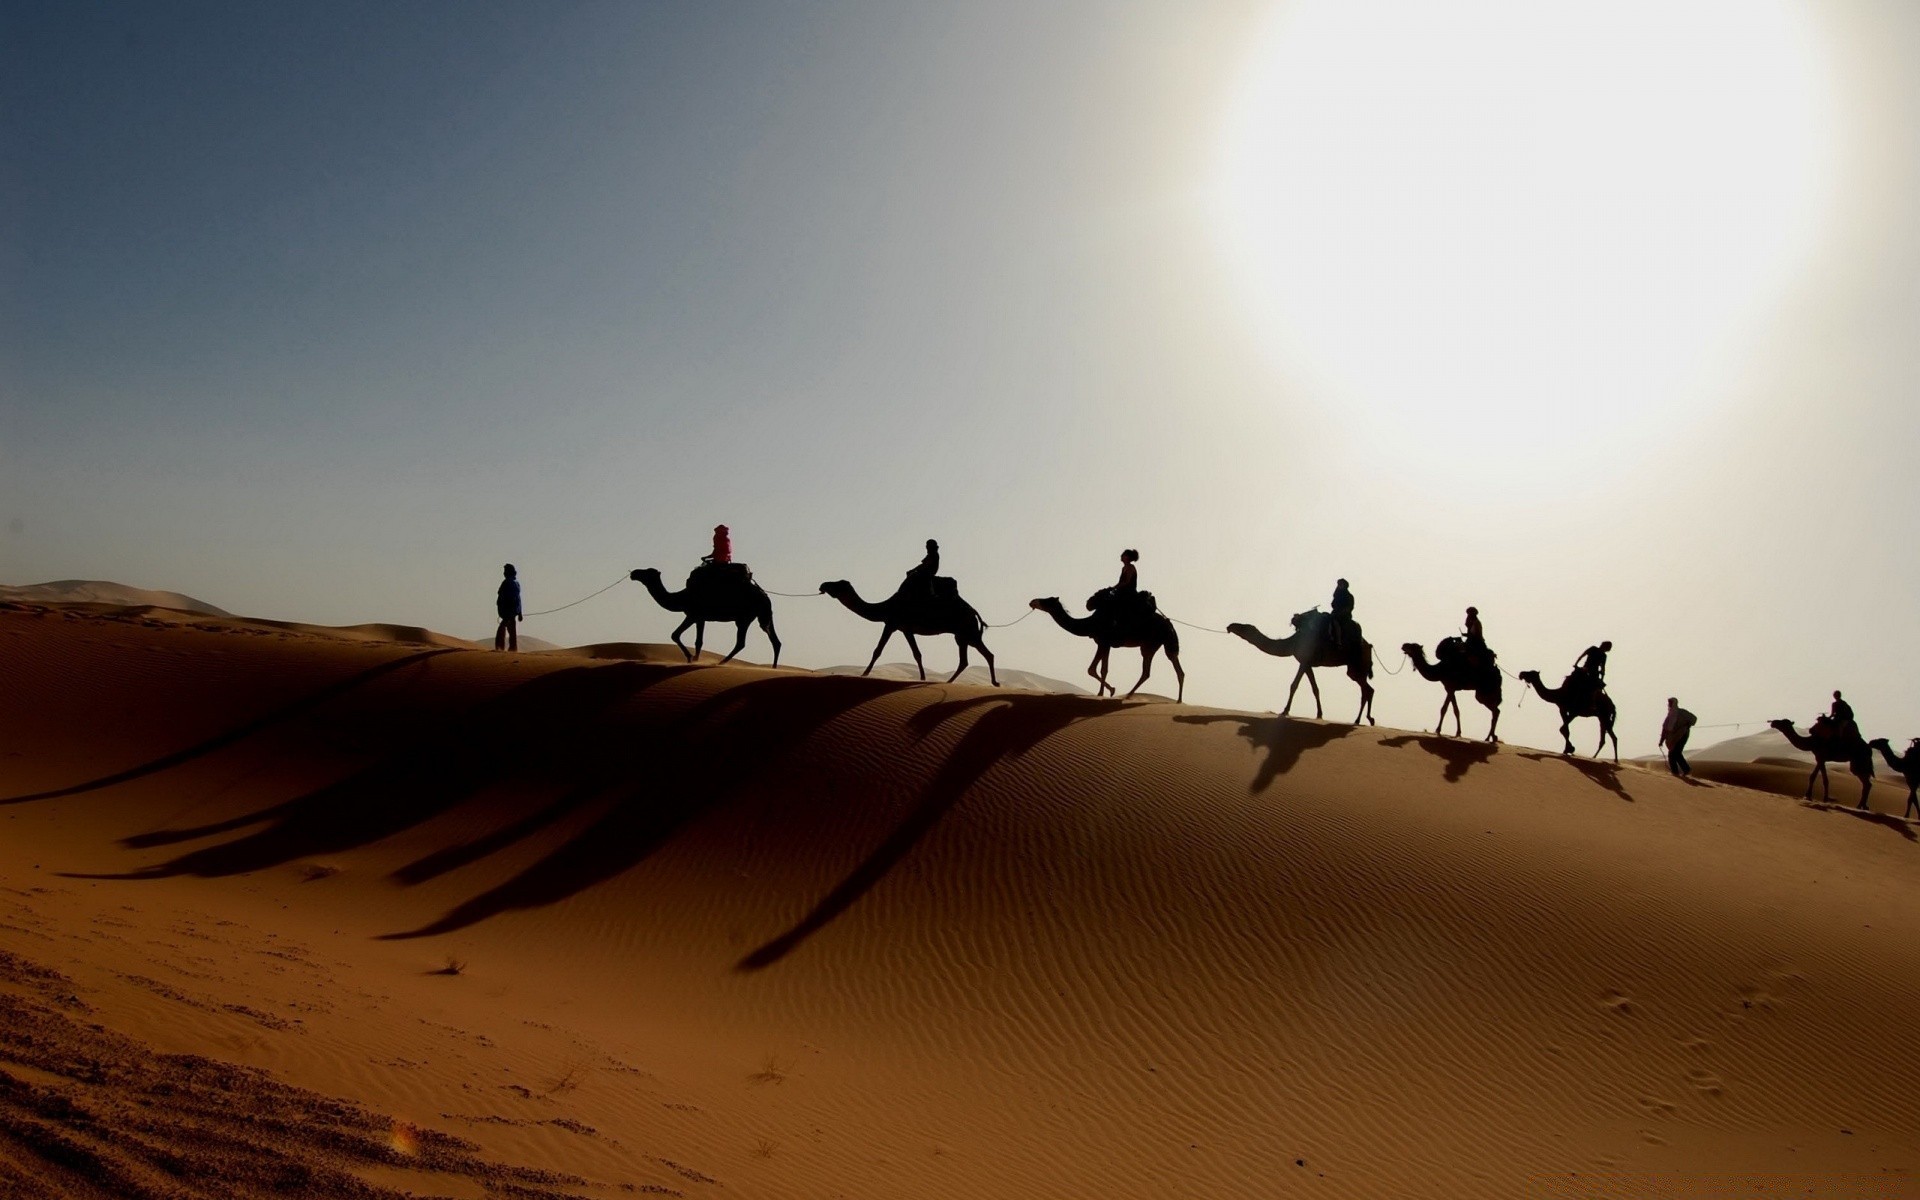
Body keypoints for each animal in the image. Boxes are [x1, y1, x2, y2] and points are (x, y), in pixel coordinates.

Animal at [629, 564, 779, 664]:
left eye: (647, 572)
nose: (633, 573)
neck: (682, 597)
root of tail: (764, 595)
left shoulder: (693, 615)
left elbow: (675, 635)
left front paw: (691, 658)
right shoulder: (700, 618)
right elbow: (698, 641)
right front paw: (695, 659)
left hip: (745, 617)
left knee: (741, 642)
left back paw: (721, 663)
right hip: (761, 615)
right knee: (774, 640)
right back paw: (773, 667)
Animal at [821, 579, 1006, 683]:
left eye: (839, 584)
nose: (823, 584)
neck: (885, 606)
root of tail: (974, 612)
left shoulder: (891, 624)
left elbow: (878, 650)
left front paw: (865, 674)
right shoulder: (906, 629)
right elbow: (917, 654)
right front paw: (923, 678)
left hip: (968, 632)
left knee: (985, 654)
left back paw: (991, 682)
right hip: (962, 635)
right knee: (967, 660)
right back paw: (951, 681)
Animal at [1029, 595, 1175, 702]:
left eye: (1046, 600)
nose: (1032, 602)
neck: (1090, 623)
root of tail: (1168, 624)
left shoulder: (1105, 642)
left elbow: (1099, 669)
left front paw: (1105, 692)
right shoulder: (1102, 643)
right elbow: (1096, 669)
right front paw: (1106, 691)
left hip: (1150, 644)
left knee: (1146, 671)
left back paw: (1129, 695)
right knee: (1149, 670)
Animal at [1228, 606, 1382, 721]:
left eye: (1245, 627)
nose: (1230, 626)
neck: (1293, 642)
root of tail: (1369, 646)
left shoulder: (1304, 661)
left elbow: (1294, 685)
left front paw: (1285, 711)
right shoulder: (1307, 663)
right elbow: (1315, 688)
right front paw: (1319, 714)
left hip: (1358, 665)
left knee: (1367, 690)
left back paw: (1362, 720)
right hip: (1355, 669)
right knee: (1367, 689)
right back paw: (1362, 720)